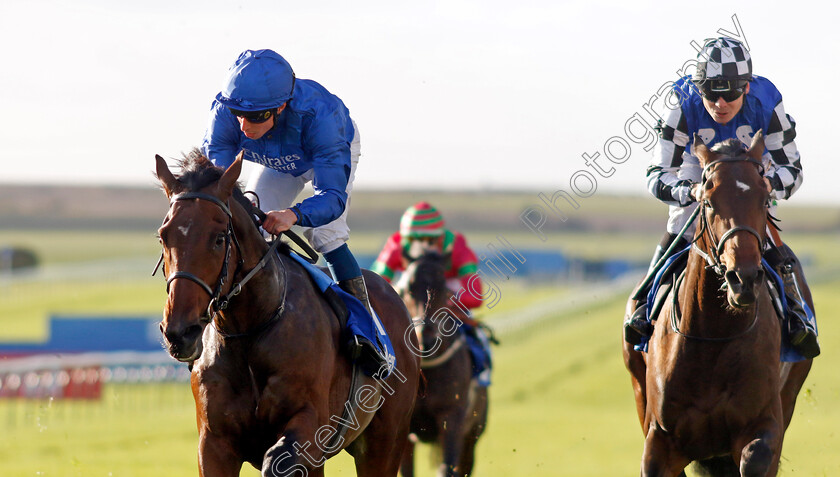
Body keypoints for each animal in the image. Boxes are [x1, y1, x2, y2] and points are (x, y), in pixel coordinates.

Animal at [153, 152, 420, 476]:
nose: (180, 331)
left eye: (218, 238)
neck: (252, 328)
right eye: (163, 237)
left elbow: (276, 461)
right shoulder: (214, 443)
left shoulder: (310, 425)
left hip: (384, 441)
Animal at [398, 251, 488, 474]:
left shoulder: (451, 419)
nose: (425, 339)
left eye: (445, 288)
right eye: (408, 288)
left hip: (472, 434)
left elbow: (447, 467)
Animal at [624, 131, 812, 476]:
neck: (712, 336)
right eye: (708, 201)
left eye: (764, 199)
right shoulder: (659, 441)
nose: (744, 278)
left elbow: (756, 457)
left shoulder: (765, 425)